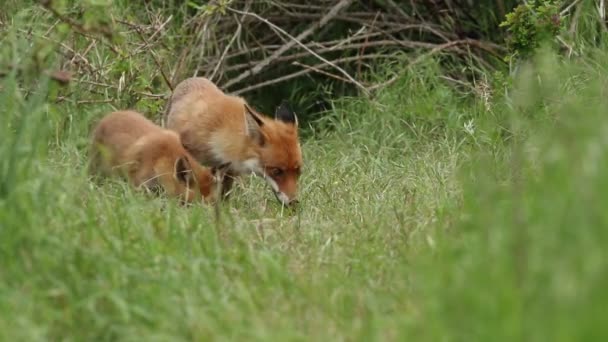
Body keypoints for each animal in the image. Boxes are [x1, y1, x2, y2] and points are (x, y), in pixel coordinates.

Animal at [165, 77, 302, 206]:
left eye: (298, 171)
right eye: (276, 171)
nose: (294, 202)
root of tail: (192, 79)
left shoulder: (229, 171)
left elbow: (224, 197)